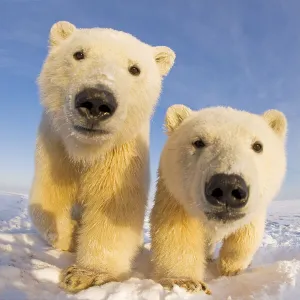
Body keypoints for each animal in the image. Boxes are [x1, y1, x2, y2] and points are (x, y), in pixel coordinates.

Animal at [28, 21, 176, 292]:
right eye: (78, 54)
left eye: (134, 69)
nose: (96, 101)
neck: (86, 150)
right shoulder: (56, 147)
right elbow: (48, 198)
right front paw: (71, 235)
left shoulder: (121, 155)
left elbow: (112, 207)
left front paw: (86, 274)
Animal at [151, 104, 288, 294]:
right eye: (198, 142)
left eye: (258, 146)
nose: (227, 186)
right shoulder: (174, 194)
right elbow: (176, 231)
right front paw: (186, 282)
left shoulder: (256, 206)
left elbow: (247, 233)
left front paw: (232, 268)